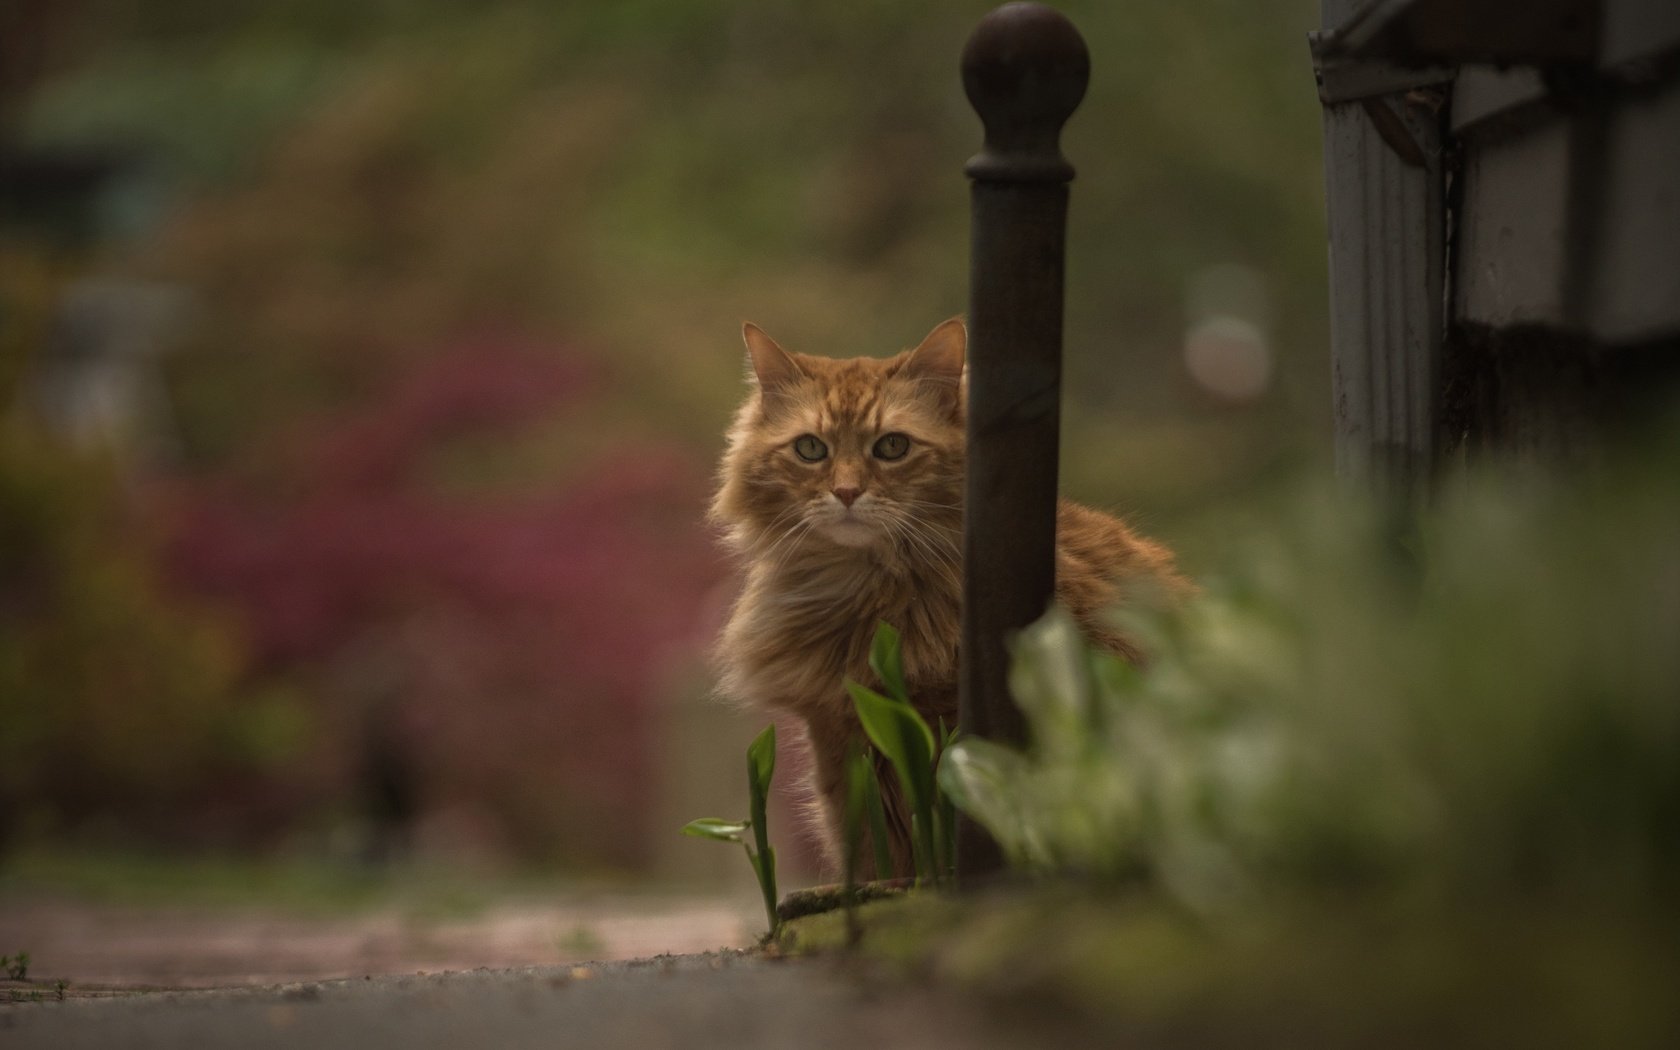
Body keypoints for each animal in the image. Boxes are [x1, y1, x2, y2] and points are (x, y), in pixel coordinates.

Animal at [708, 319, 1182, 873]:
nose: (846, 493)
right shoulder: (840, 742)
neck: (865, 592)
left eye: (893, 447)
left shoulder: (940, 731)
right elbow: (868, 854)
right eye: (810, 449)